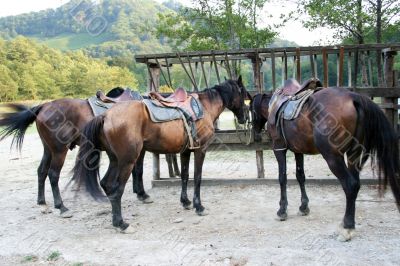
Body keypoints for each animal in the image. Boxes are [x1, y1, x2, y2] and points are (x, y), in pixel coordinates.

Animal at [0, 88, 177, 217]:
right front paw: (142, 194)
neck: (145, 113)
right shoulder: (138, 151)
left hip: (48, 149)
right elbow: (138, 170)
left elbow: (135, 171)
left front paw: (139, 193)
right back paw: (61, 207)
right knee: (53, 174)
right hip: (59, 151)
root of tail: (44, 106)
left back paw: (42, 202)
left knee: (41, 171)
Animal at [70, 77, 248, 233]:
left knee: (106, 184)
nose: (245, 117)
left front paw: (185, 202)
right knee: (116, 189)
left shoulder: (185, 151)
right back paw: (122, 224)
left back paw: (116, 221)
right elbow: (197, 177)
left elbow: (185, 176)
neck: (204, 107)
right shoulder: (200, 150)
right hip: (127, 161)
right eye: (244, 94)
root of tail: (105, 115)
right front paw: (199, 206)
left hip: (115, 160)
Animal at [252, 85, 398, 241]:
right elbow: (300, 176)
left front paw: (282, 210)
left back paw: (347, 228)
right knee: (355, 184)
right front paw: (303, 207)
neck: (275, 106)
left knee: (350, 185)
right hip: (353, 156)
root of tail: (354, 97)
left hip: (333, 158)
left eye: (250, 110)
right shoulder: (298, 151)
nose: (255, 133)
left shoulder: (279, 148)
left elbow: (282, 178)